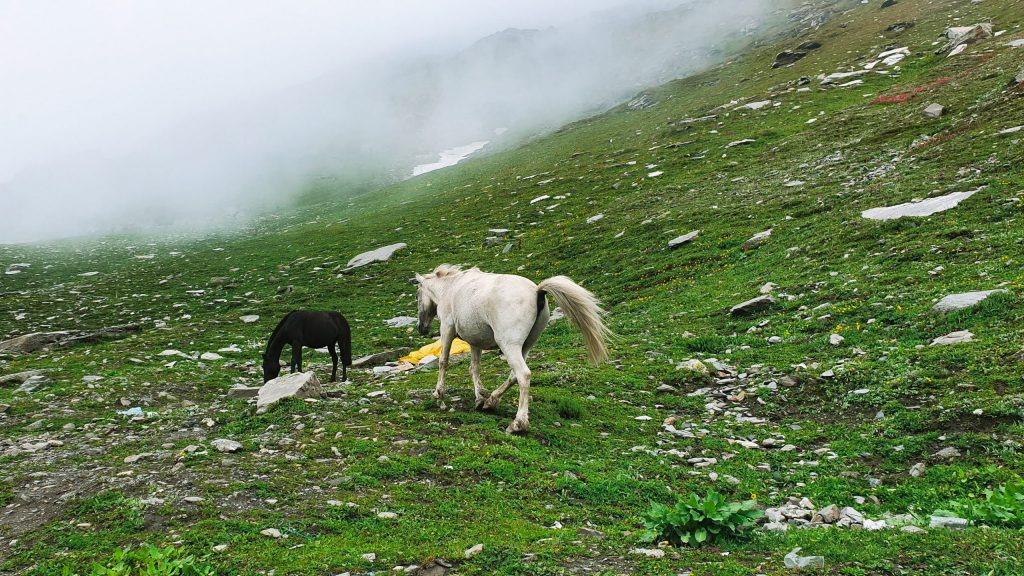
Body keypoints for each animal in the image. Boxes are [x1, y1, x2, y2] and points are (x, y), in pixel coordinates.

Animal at [413, 264, 606, 430]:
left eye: (417, 295)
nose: (421, 328)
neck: (449, 288)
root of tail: (537, 291)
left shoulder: (447, 329)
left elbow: (443, 361)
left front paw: (439, 393)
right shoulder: (475, 342)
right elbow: (474, 368)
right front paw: (480, 397)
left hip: (509, 345)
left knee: (523, 375)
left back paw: (518, 423)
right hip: (525, 346)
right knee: (513, 376)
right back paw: (490, 402)